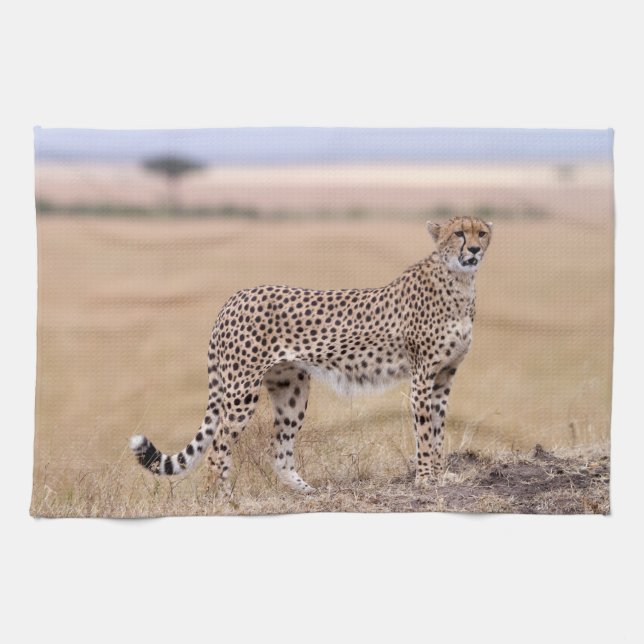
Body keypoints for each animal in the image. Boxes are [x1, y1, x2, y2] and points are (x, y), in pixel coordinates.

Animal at [130, 216, 492, 494]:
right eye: (459, 233)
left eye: (482, 233)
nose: (474, 250)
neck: (460, 282)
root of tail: (235, 297)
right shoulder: (422, 377)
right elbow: (425, 431)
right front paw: (427, 480)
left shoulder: (444, 376)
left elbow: (439, 428)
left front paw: (442, 475)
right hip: (241, 390)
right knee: (218, 447)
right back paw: (219, 499)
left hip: (291, 389)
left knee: (278, 449)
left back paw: (304, 490)